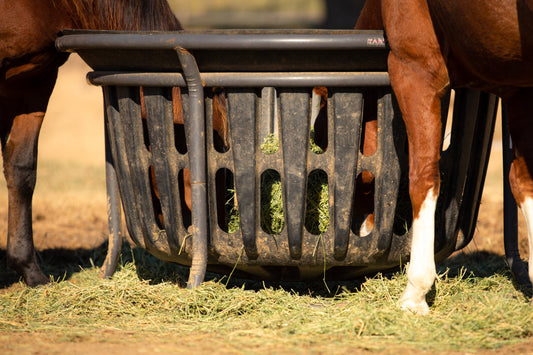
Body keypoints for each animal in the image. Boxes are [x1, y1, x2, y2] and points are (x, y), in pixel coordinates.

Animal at [356, 0, 532, 312]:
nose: (364, 228)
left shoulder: (415, 68)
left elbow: (423, 178)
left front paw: (415, 292)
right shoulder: (518, 91)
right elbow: (522, 181)